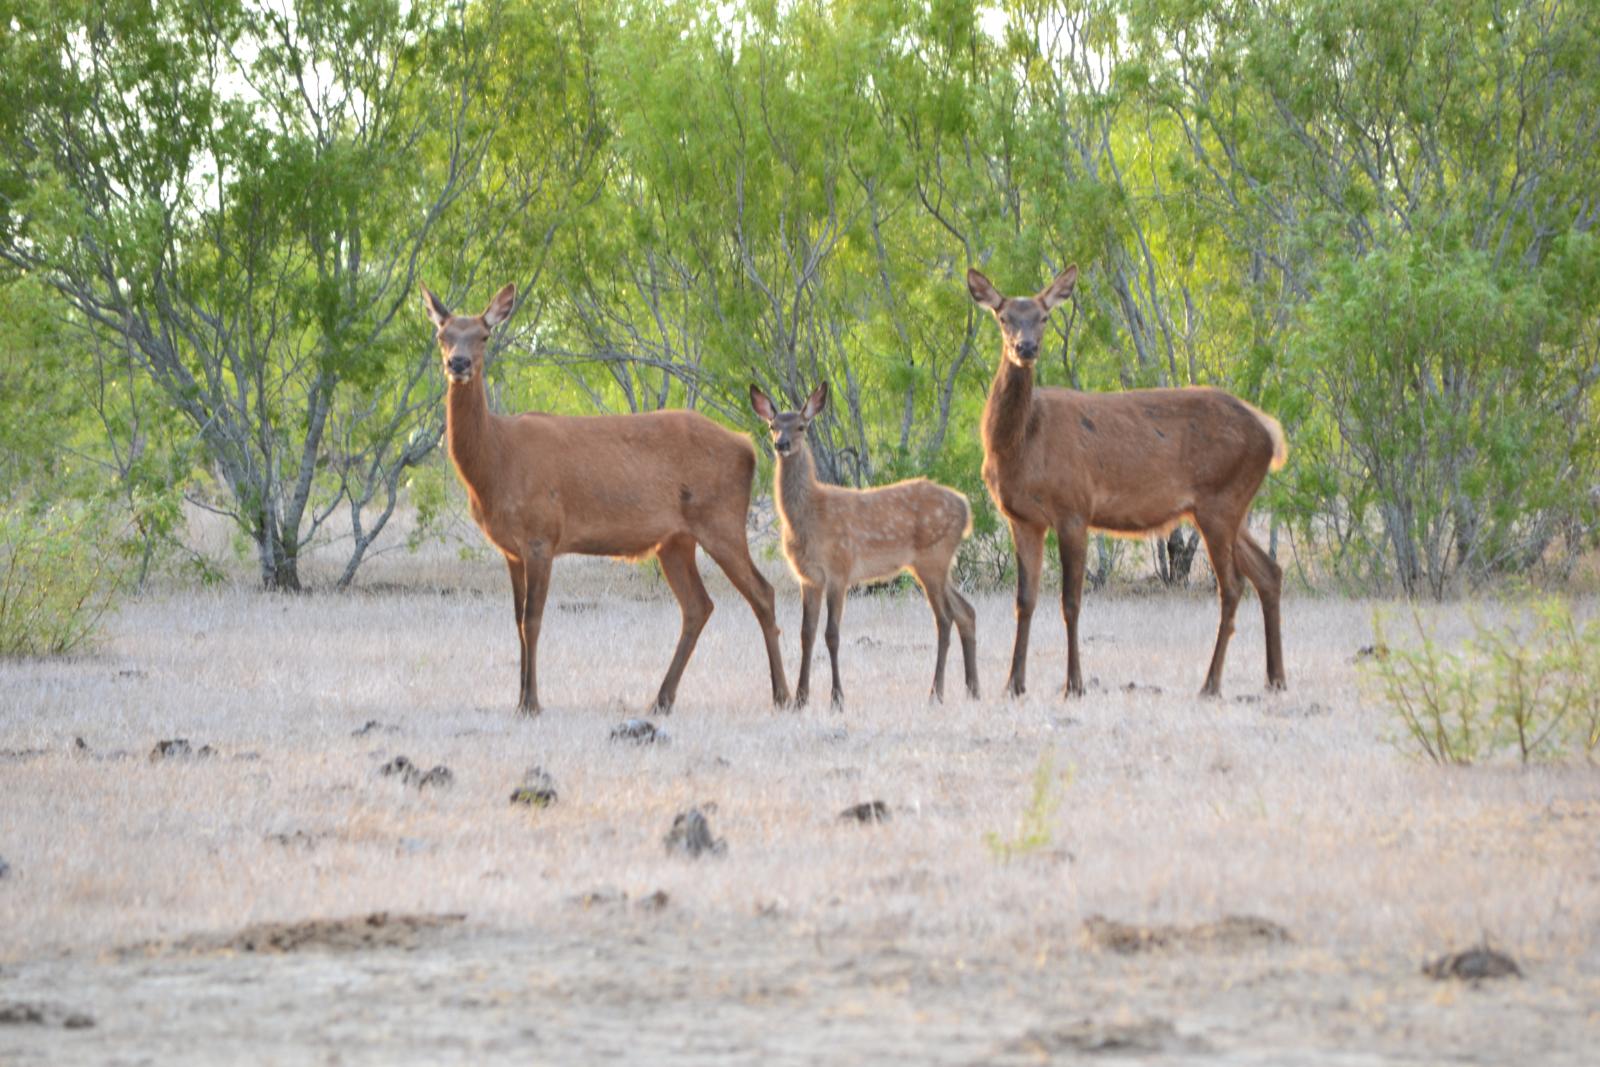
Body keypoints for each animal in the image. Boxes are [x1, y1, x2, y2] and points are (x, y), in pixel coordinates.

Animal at [421, 282, 789, 715]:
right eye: (442, 334)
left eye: (483, 335)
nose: (458, 363)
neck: (495, 463)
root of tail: (748, 447)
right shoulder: (511, 549)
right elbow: (516, 621)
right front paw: (519, 700)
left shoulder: (541, 535)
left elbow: (532, 620)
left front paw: (533, 702)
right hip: (675, 540)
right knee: (698, 605)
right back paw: (662, 698)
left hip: (721, 521)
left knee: (763, 592)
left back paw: (784, 695)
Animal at [749, 382, 978, 707]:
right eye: (772, 425)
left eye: (801, 426)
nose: (782, 444)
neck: (810, 516)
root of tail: (966, 509)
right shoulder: (809, 577)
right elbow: (806, 634)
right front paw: (801, 698)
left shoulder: (840, 568)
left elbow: (832, 634)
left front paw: (837, 699)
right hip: (938, 564)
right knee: (965, 611)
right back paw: (973, 689)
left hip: (932, 558)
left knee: (944, 619)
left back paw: (936, 693)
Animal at [966, 264, 1287, 699]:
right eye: (1004, 317)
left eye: (1044, 317)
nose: (1026, 347)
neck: (1021, 446)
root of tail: (1269, 432)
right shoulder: (1024, 519)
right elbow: (1025, 600)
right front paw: (1014, 685)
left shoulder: (1074, 508)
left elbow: (1071, 601)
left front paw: (1074, 685)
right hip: (1227, 507)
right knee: (1269, 572)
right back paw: (1275, 679)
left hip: (1220, 501)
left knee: (1233, 585)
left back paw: (1211, 684)